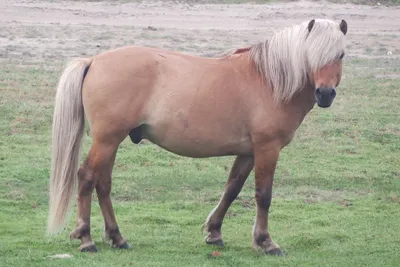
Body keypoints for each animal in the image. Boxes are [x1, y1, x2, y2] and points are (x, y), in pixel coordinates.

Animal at [47, 18, 346, 255]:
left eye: (341, 54)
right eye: (312, 53)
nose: (325, 94)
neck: (269, 81)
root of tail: (93, 61)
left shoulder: (248, 152)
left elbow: (232, 189)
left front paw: (214, 233)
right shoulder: (267, 149)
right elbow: (263, 195)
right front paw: (265, 242)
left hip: (111, 142)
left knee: (103, 183)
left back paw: (117, 237)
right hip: (107, 140)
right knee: (87, 177)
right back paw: (86, 238)